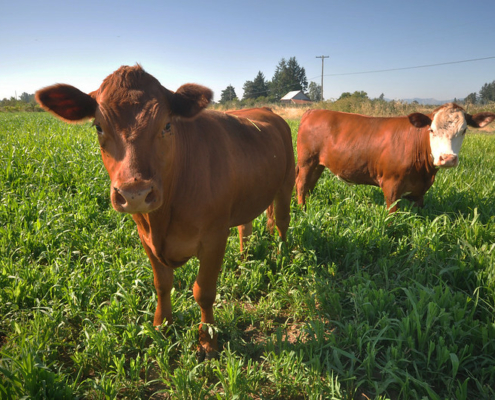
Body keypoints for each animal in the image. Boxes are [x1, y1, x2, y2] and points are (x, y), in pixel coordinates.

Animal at [37, 64, 298, 358]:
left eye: (167, 125)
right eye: (98, 127)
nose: (135, 193)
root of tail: (266, 110)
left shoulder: (215, 236)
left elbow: (204, 291)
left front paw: (207, 340)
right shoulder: (146, 237)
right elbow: (162, 284)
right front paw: (161, 326)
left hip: (287, 181)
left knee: (282, 222)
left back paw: (283, 256)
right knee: (246, 226)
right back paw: (243, 260)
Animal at [296, 104, 494, 214]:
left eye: (464, 130)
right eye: (431, 130)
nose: (447, 159)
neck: (424, 172)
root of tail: (313, 111)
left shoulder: (420, 191)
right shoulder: (391, 185)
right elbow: (392, 216)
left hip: (318, 164)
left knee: (310, 184)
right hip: (306, 161)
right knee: (301, 184)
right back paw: (302, 209)